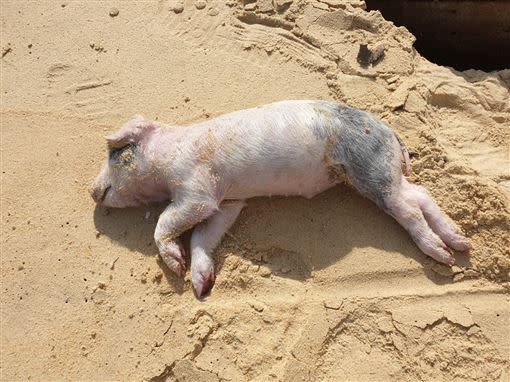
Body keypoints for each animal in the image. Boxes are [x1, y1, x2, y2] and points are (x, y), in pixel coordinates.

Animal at [90, 100, 470, 296]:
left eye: (115, 153)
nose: (90, 190)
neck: (168, 158)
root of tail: (390, 131)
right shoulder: (229, 202)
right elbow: (203, 235)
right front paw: (200, 286)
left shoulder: (197, 190)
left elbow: (166, 221)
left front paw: (177, 266)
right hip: (383, 172)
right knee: (420, 193)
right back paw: (462, 244)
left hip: (370, 169)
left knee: (408, 207)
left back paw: (444, 256)